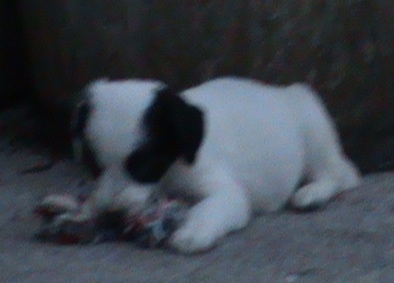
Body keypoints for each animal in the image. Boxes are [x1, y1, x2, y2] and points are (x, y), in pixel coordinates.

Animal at [56, 77, 360, 253]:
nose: (110, 215)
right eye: (93, 165)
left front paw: (193, 231)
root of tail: (282, 92)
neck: (171, 172)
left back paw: (313, 193)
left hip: (312, 130)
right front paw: (80, 212)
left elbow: (208, 207)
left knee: (341, 174)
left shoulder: (225, 191)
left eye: (146, 165)